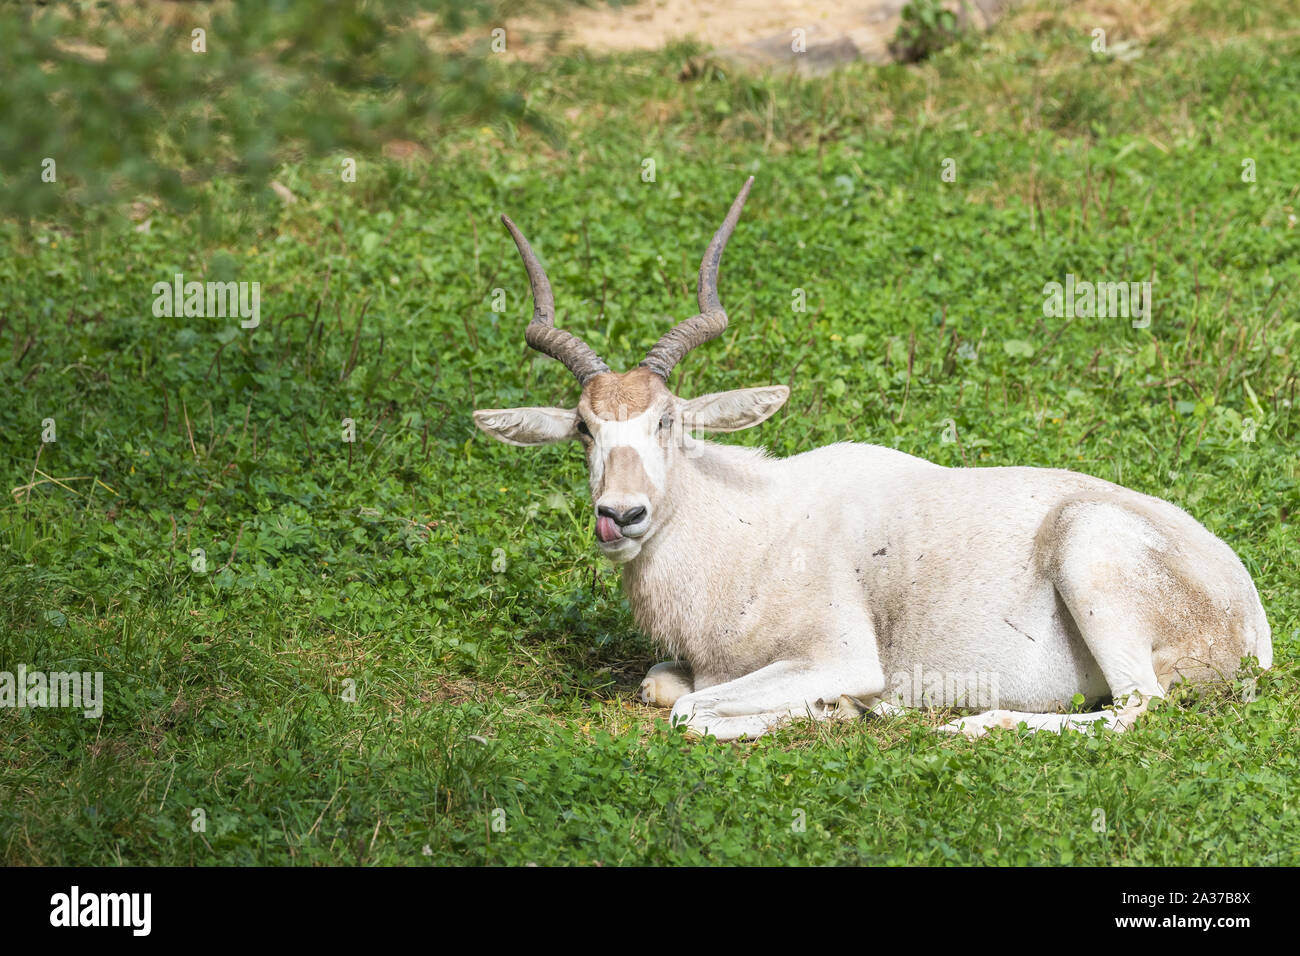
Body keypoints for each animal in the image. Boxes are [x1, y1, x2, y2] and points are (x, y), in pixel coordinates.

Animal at [470, 180, 1268, 749]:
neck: (747, 528)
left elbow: (692, 709)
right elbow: (661, 687)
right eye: (584, 429)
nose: (620, 516)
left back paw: (975, 724)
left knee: (1137, 708)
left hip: (1088, 553)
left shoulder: (842, 655)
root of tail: (1251, 624)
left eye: (667, 420)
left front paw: (841, 710)